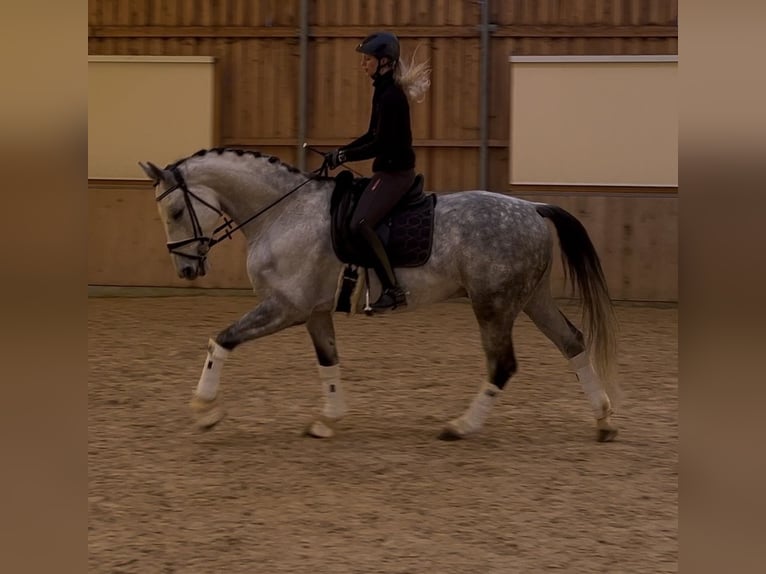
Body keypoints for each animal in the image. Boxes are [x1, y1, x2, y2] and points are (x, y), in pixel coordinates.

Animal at [139, 147, 620, 442]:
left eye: (176, 211)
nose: (186, 269)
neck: (283, 212)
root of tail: (533, 209)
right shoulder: (315, 312)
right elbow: (328, 362)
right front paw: (327, 420)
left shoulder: (285, 307)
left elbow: (221, 339)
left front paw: (205, 409)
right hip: (531, 298)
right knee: (572, 342)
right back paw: (603, 420)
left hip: (493, 306)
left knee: (502, 365)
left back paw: (461, 426)